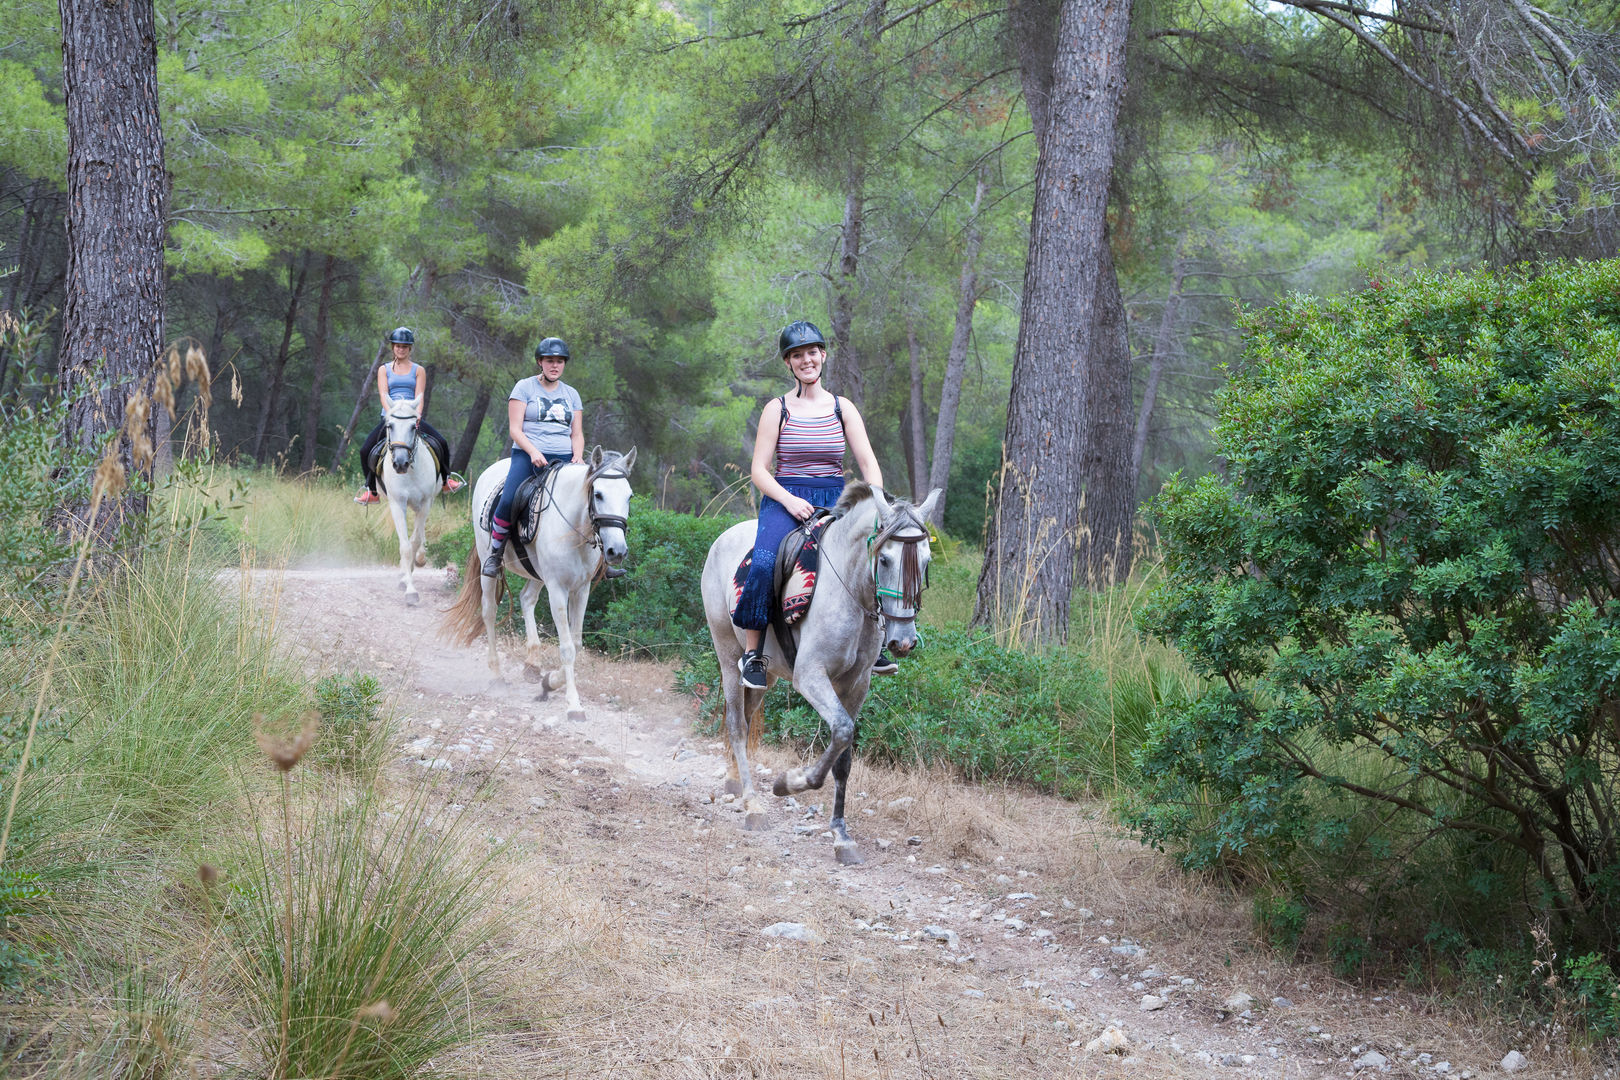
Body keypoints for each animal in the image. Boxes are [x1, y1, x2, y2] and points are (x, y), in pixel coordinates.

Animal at [378, 398, 440, 605]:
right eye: (390, 425)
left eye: (414, 426)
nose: (400, 463)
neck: (410, 472)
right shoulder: (398, 504)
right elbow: (405, 546)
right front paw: (409, 589)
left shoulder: (426, 502)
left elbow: (414, 541)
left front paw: (412, 573)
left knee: (419, 533)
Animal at [442, 447, 635, 721]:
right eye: (598, 494)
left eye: (629, 496)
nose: (616, 551)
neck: (573, 528)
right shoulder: (557, 589)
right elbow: (567, 648)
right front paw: (573, 704)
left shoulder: (581, 590)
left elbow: (577, 644)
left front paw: (550, 681)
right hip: (488, 565)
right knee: (489, 611)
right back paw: (497, 674)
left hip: (536, 574)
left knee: (526, 599)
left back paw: (532, 663)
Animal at [699, 481, 939, 864]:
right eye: (885, 559)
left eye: (926, 561)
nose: (903, 641)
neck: (849, 592)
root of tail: (724, 537)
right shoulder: (811, 677)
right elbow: (840, 731)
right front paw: (788, 783)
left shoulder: (857, 685)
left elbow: (844, 755)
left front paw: (842, 836)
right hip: (726, 654)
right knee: (737, 725)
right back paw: (753, 804)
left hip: (765, 676)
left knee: (747, 718)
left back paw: (735, 781)